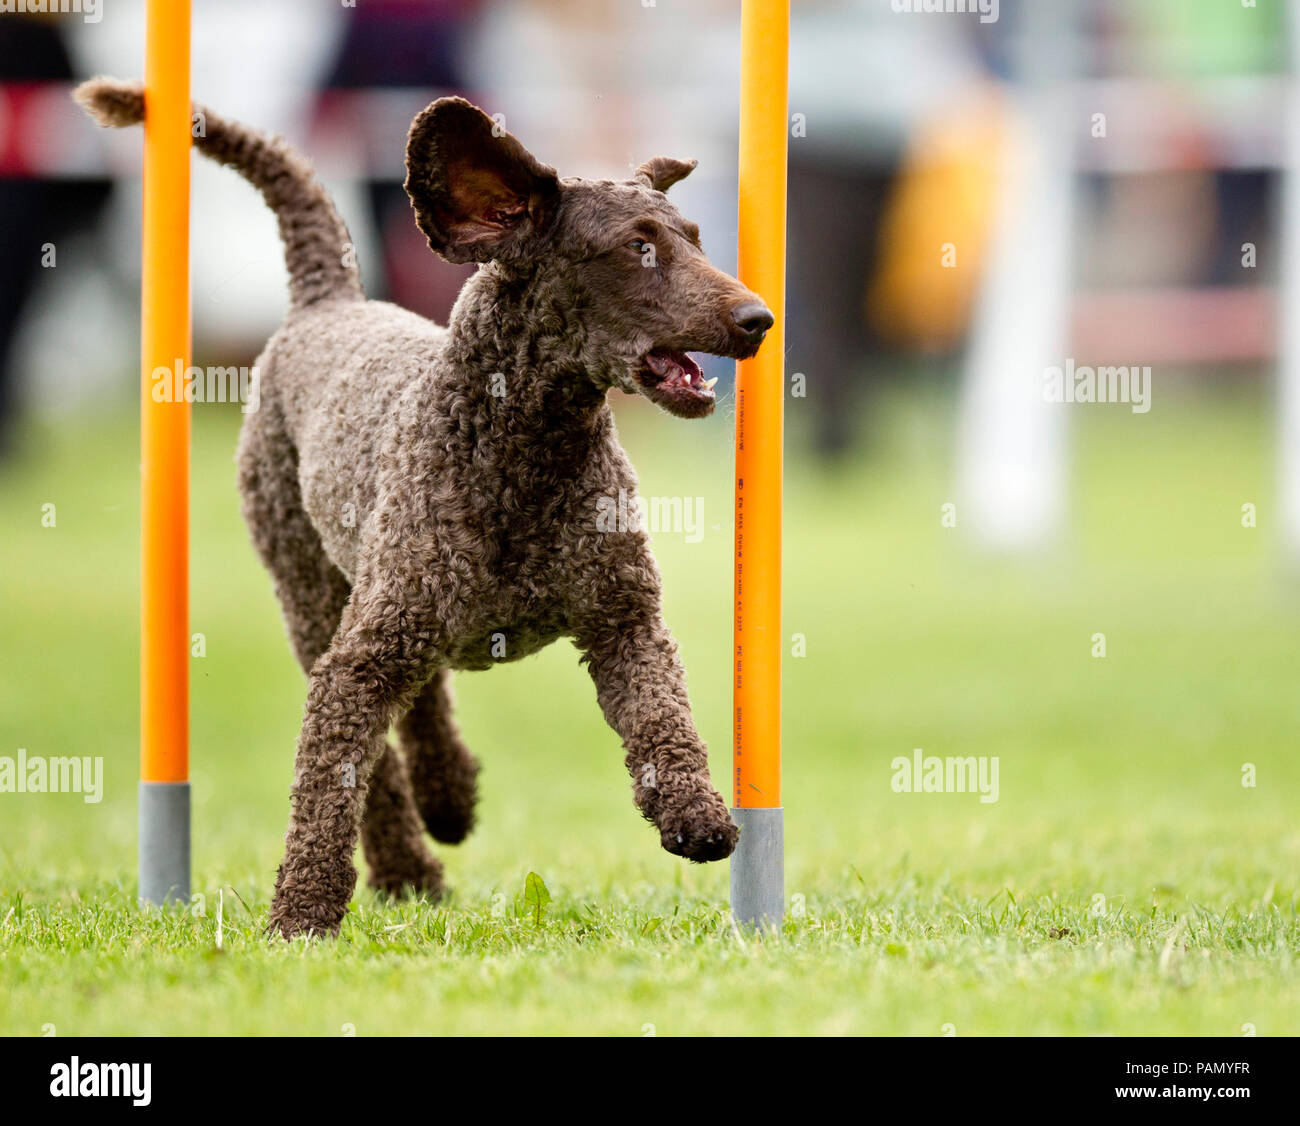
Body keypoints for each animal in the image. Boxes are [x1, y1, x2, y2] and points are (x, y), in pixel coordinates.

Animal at [76, 76, 769, 941]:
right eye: (638, 248)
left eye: (697, 239)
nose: (757, 319)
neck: (523, 455)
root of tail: (329, 300)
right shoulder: (358, 661)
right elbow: (330, 786)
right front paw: (301, 914)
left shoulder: (623, 616)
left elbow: (662, 718)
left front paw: (696, 816)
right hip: (318, 589)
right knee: (380, 749)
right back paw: (410, 861)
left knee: (427, 696)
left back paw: (449, 795)